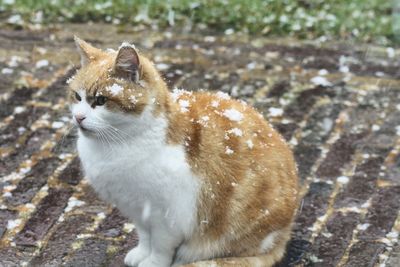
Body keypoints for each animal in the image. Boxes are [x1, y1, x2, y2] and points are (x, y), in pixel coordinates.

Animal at [69, 36, 298, 267]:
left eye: (100, 100)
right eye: (77, 97)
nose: (78, 117)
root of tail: (284, 238)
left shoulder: (167, 216)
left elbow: (160, 247)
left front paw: (153, 262)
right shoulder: (138, 210)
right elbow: (145, 237)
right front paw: (141, 253)